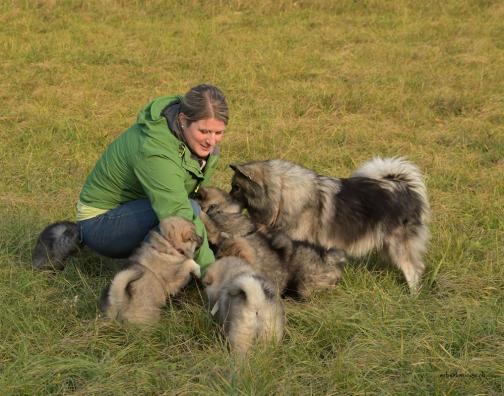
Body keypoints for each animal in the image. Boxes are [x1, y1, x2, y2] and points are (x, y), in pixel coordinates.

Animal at [230, 156, 432, 292]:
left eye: (236, 188)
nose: (225, 197)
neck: (280, 195)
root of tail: (404, 186)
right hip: (387, 245)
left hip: (398, 246)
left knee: (414, 270)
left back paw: (412, 296)